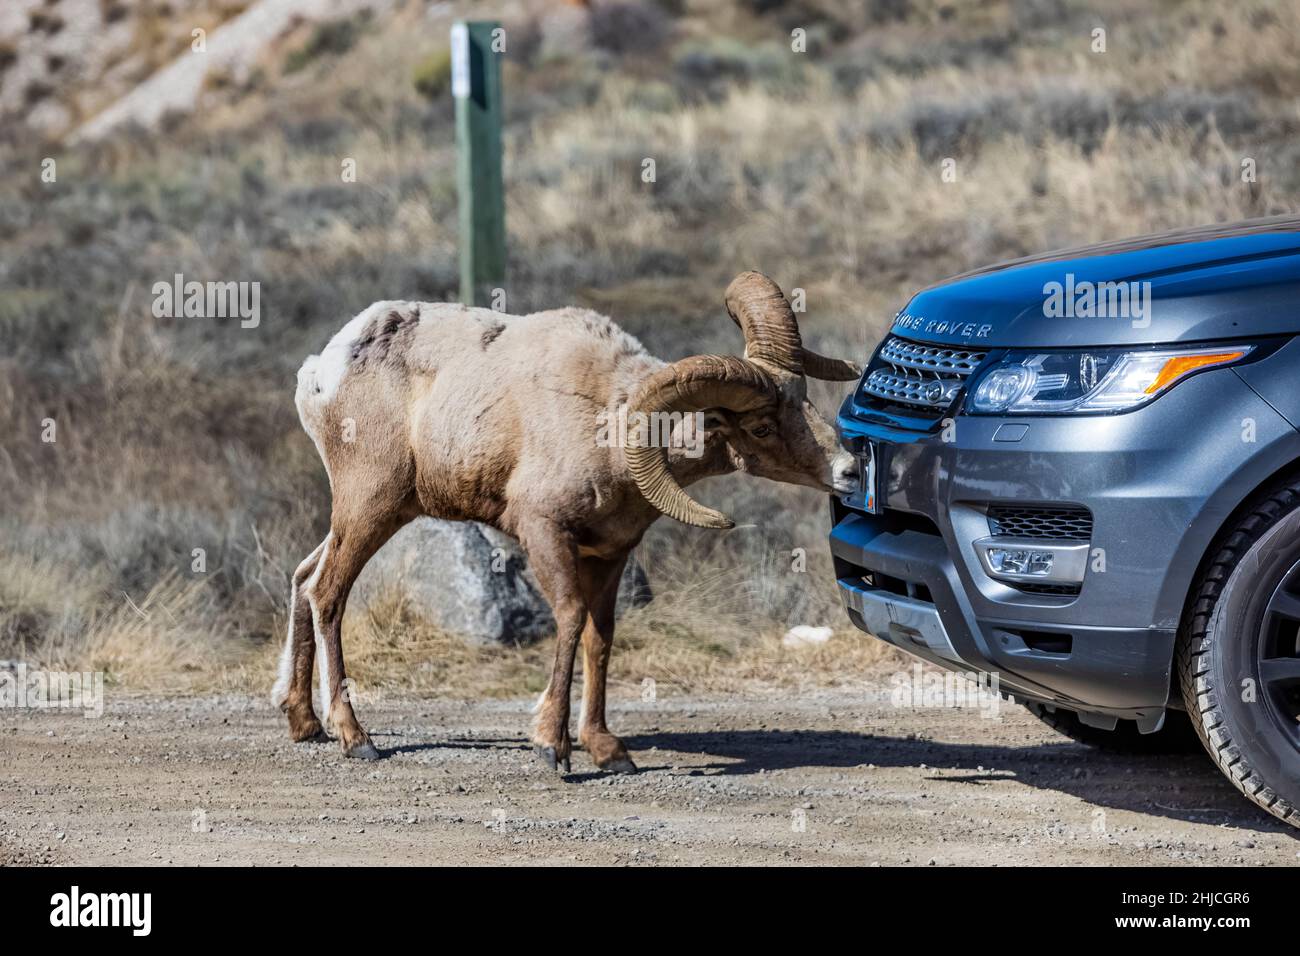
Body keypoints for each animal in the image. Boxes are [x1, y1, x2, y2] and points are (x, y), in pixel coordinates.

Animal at [274, 273, 863, 775]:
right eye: (761, 426)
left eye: (806, 400)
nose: (850, 471)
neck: (610, 421)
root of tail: (321, 373)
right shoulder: (545, 533)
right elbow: (570, 620)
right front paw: (552, 747)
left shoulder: (611, 554)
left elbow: (600, 638)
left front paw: (607, 750)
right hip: (369, 508)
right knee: (327, 593)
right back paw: (356, 739)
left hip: (374, 514)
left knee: (304, 576)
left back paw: (304, 723)